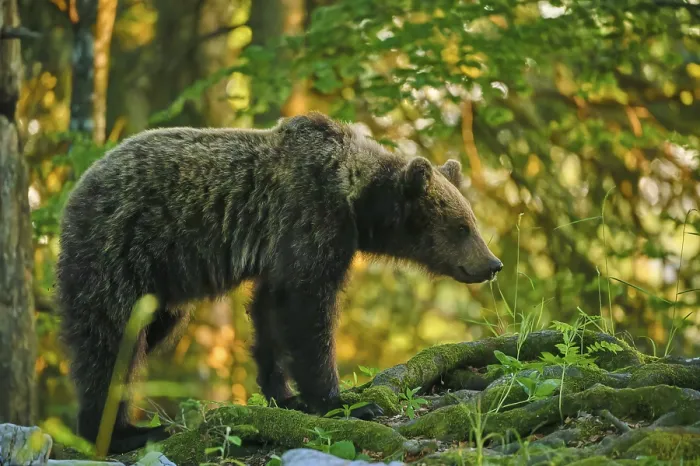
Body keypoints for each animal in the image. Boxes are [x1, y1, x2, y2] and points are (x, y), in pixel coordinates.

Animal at [55, 112, 503, 453]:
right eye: (462, 227)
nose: (493, 263)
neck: (357, 200)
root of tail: (78, 187)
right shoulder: (312, 217)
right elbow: (308, 310)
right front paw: (344, 402)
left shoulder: (279, 253)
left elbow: (271, 311)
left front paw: (285, 396)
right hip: (120, 252)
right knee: (111, 338)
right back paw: (121, 433)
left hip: (160, 289)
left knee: (150, 331)